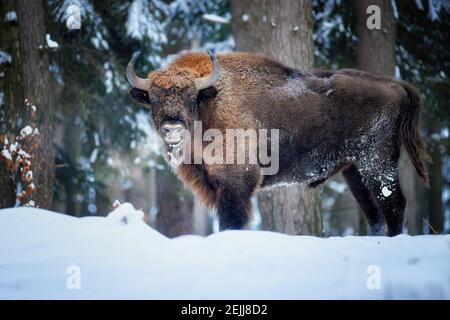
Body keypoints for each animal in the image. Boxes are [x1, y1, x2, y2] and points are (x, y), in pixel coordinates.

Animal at [126, 49, 428, 235]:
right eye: (153, 100)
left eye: (191, 98)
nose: (172, 128)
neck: (211, 101)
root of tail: (397, 85)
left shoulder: (236, 182)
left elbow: (232, 221)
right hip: (354, 171)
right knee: (374, 213)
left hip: (377, 165)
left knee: (394, 205)